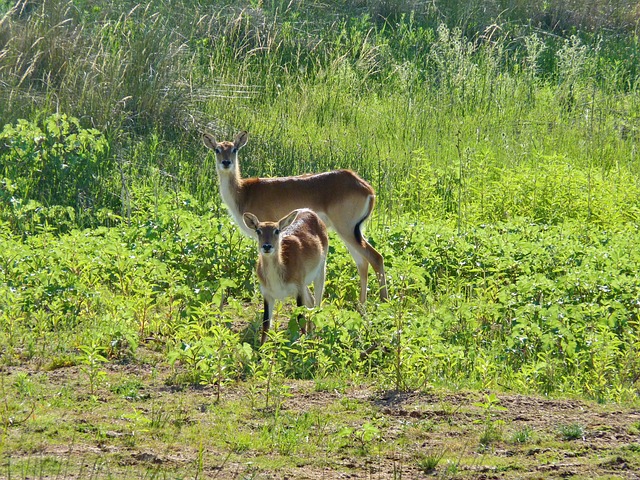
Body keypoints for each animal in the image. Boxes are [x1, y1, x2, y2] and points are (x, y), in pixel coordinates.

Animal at [202, 130, 388, 304]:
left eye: (234, 149)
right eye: (217, 149)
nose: (226, 163)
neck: (243, 192)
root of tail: (365, 187)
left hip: (346, 230)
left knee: (376, 257)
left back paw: (382, 302)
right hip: (352, 232)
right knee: (362, 262)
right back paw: (362, 306)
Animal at [242, 208, 328, 344]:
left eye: (277, 230)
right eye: (258, 230)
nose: (267, 246)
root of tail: (309, 210)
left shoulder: (298, 289)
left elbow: (300, 318)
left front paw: (303, 346)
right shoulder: (267, 294)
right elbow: (266, 323)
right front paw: (261, 349)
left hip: (320, 272)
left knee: (317, 305)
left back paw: (316, 338)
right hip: (304, 283)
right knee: (311, 302)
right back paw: (311, 335)